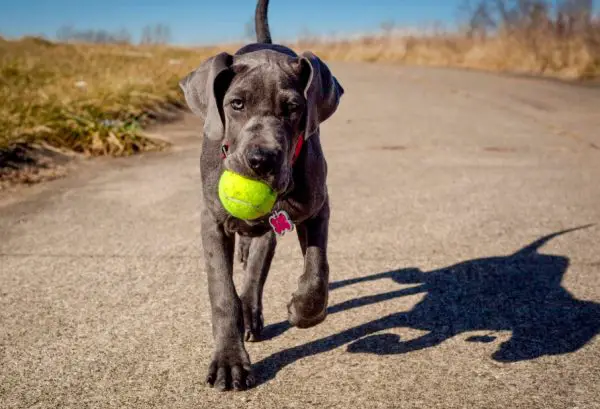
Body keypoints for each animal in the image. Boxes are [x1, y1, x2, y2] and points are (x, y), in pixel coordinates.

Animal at [179, 0, 342, 388]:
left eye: (294, 108)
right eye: (236, 104)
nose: (260, 160)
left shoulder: (317, 207)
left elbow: (317, 269)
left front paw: (303, 309)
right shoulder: (212, 220)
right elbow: (222, 292)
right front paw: (229, 360)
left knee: (257, 266)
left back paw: (252, 310)